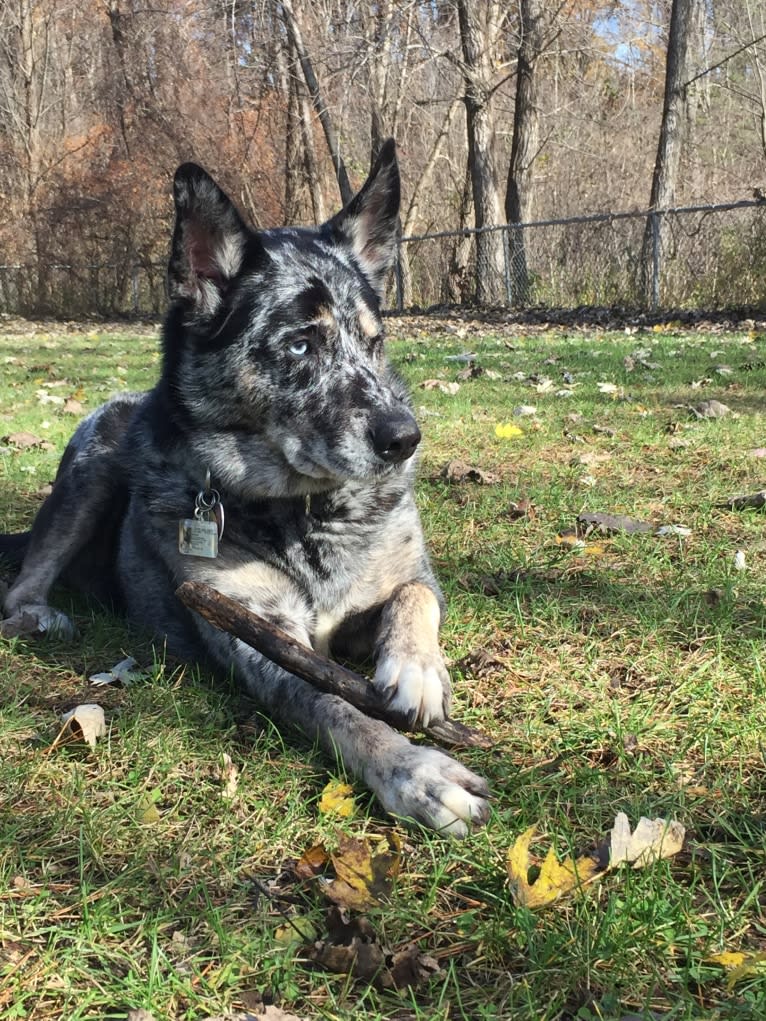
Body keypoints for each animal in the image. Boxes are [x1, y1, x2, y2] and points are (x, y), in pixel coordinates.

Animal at [0, 137, 488, 837]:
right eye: (301, 344)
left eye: (374, 343)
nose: (404, 438)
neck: (308, 512)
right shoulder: (257, 636)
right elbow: (334, 703)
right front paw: (415, 772)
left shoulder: (410, 579)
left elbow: (411, 598)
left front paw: (416, 670)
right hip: (92, 468)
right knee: (20, 588)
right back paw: (40, 615)